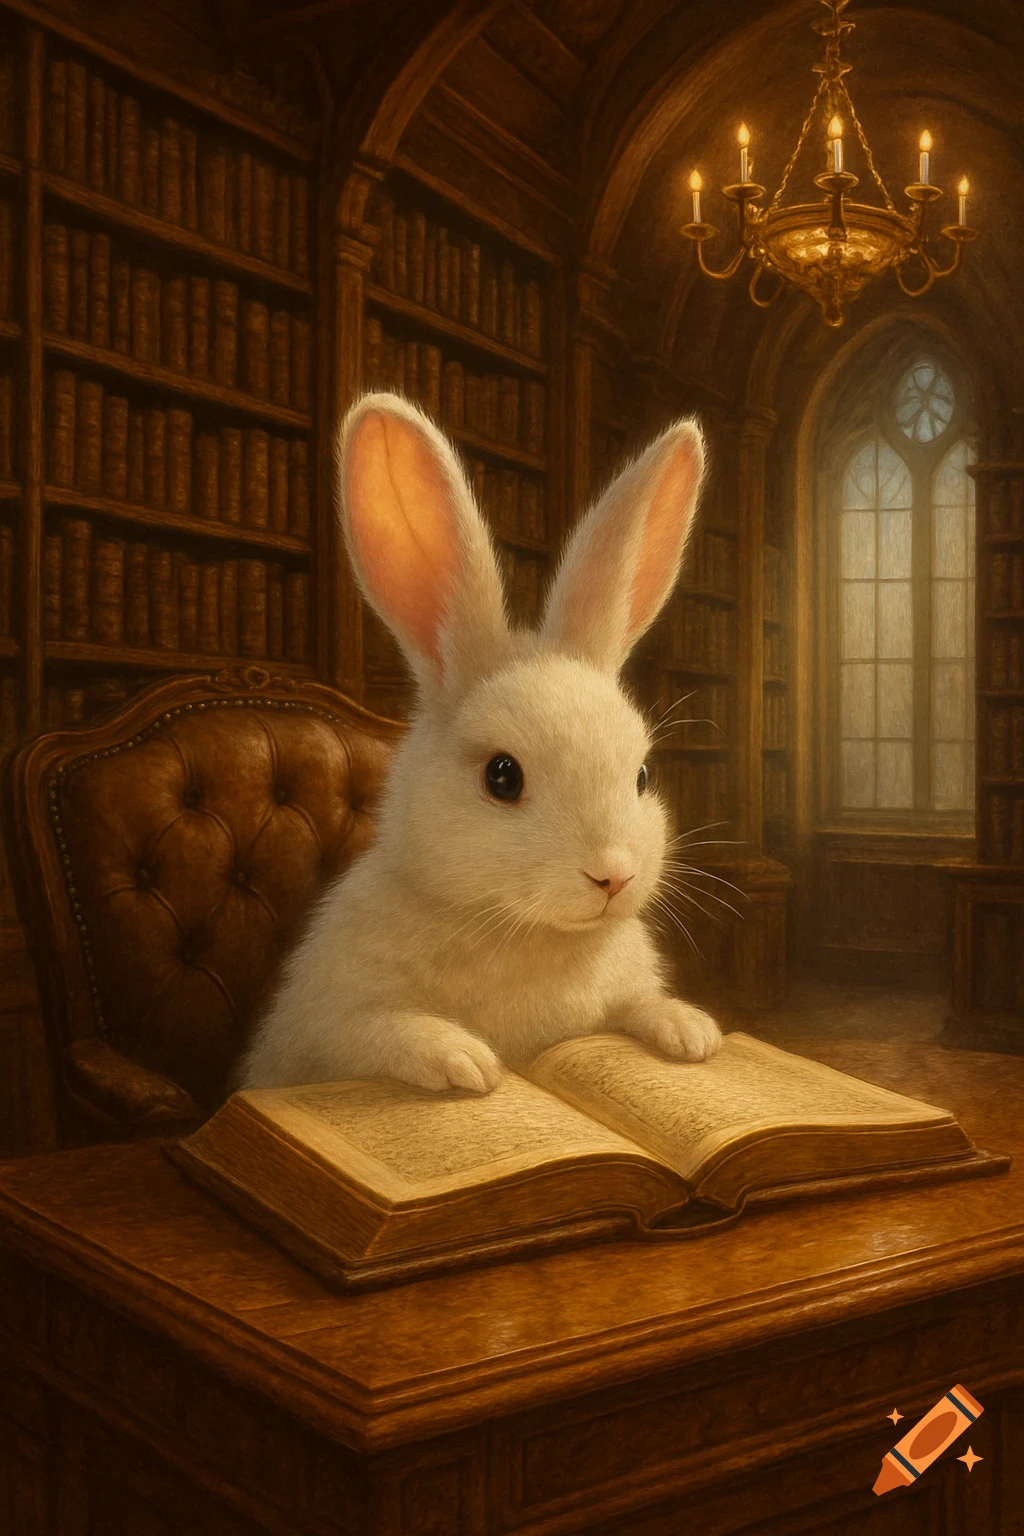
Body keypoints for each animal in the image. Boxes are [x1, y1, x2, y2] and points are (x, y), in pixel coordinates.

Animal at [240, 391, 722, 1095]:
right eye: (502, 776)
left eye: (641, 776)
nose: (613, 876)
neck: (527, 931)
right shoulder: (325, 1028)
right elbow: (379, 1030)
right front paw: (466, 1062)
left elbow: (637, 1003)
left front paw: (691, 1031)